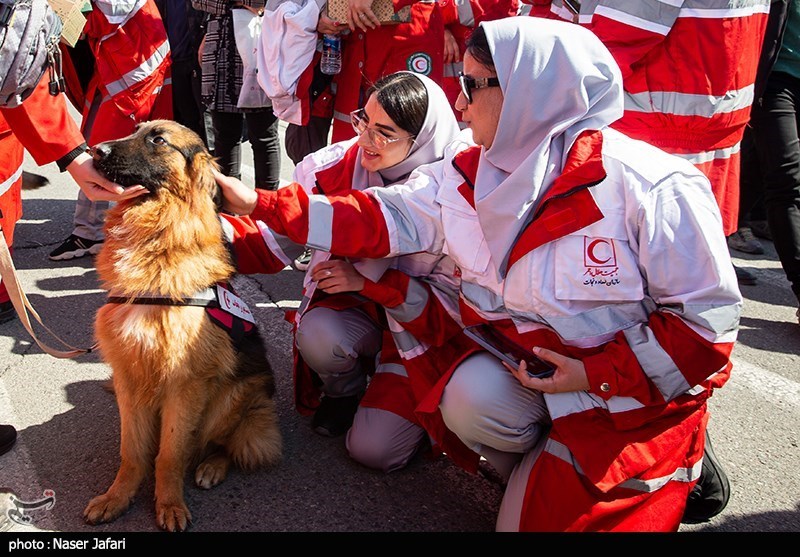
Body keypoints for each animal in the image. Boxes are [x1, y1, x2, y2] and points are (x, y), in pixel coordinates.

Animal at [83, 120, 282, 528]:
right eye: (134, 130)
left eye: (158, 139)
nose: (95, 150)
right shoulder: (129, 375)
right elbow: (133, 452)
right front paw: (117, 497)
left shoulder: (185, 384)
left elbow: (170, 454)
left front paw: (170, 504)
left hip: (232, 397)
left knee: (228, 445)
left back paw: (211, 467)